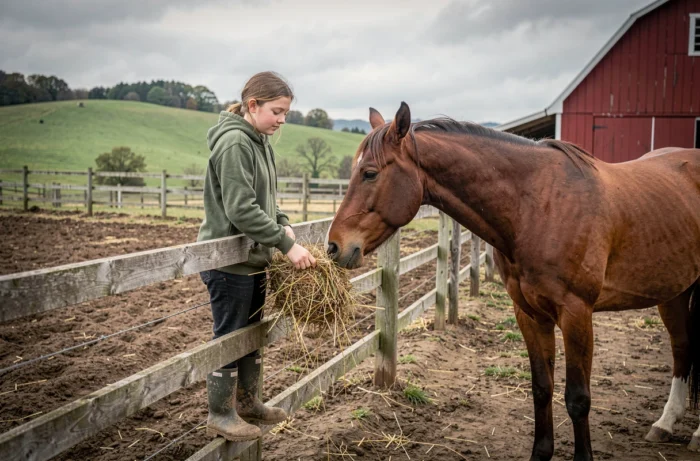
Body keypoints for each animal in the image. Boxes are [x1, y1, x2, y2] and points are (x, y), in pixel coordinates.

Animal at [326, 102, 700, 460]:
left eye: (370, 173)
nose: (334, 246)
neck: (537, 207)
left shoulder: (577, 314)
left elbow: (578, 398)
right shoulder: (529, 314)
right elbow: (542, 388)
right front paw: (541, 452)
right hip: (674, 292)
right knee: (682, 347)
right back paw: (664, 424)